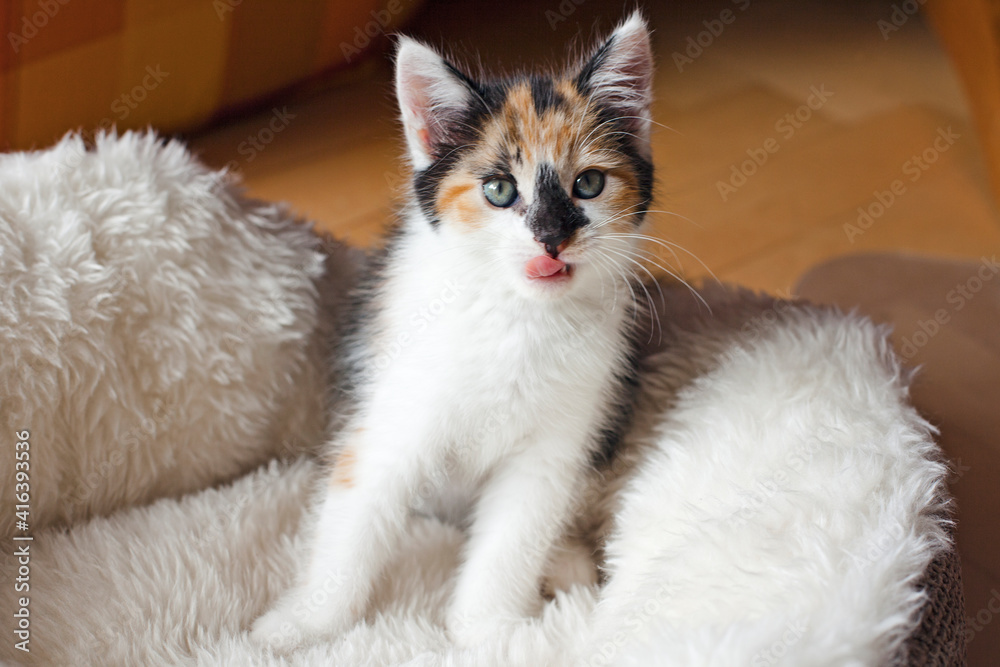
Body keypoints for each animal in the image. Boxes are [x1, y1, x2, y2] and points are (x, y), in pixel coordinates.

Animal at [250, 11, 656, 648]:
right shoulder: (391, 416)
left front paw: (489, 634)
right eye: (499, 190)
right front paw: (300, 626)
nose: (551, 238)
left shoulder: (554, 447)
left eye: (589, 184)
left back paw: (566, 562)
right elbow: (355, 521)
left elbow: (513, 540)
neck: (516, 315)